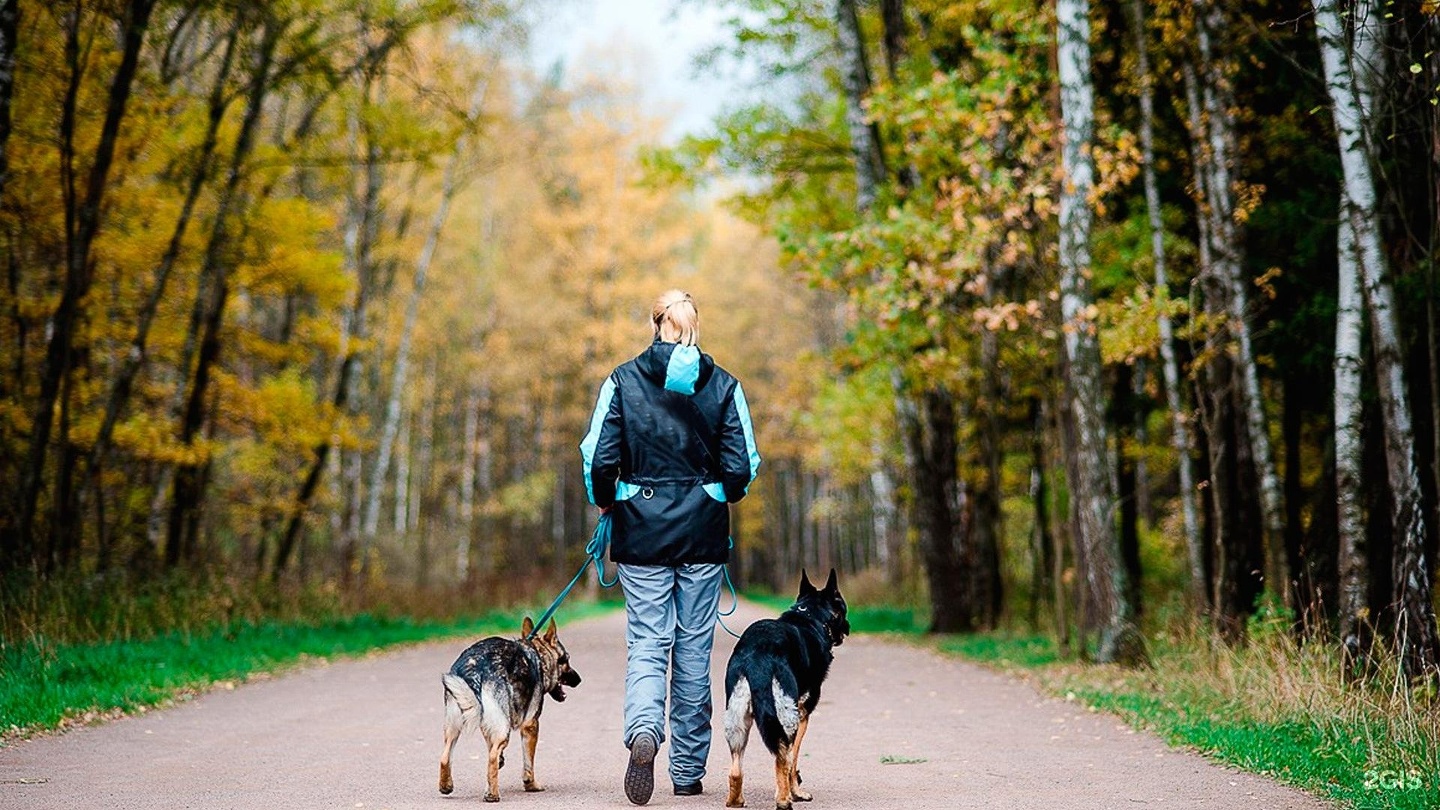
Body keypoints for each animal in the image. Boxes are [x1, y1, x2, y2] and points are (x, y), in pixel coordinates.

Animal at [437, 613, 578, 795]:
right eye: (566, 659)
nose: (579, 679)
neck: (538, 655)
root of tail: (475, 669)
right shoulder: (530, 725)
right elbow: (528, 763)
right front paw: (531, 784)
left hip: (454, 728)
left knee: (445, 757)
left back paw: (446, 785)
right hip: (503, 731)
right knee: (491, 757)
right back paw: (492, 795)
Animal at [725, 567, 846, 807]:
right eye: (843, 607)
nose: (848, 628)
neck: (809, 616)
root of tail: (757, 656)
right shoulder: (803, 715)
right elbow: (794, 760)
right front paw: (797, 792)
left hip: (737, 722)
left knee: (735, 770)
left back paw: (736, 800)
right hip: (787, 719)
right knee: (782, 760)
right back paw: (784, 799)